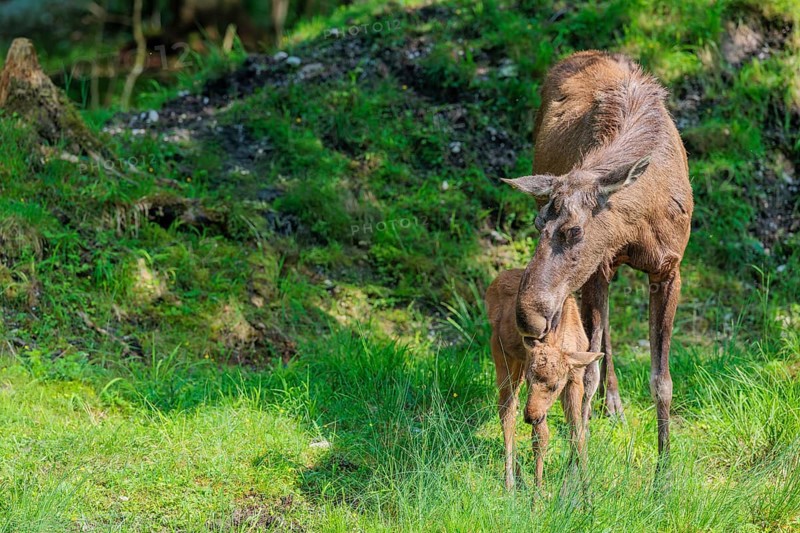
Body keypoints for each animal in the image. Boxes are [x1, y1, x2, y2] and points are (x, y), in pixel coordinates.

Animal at [486, 268, 603, 490]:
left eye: (556, 385)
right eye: (532, 379)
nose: (531, 416)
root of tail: (494, 282)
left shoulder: (574, 380)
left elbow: (578, 434)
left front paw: (587, 493)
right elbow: (541, 438)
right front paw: (537, 494)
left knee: (510, 407)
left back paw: (518, 475)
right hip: (503, 353)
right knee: (506, 409)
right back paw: (510, 482)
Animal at [501, 51, 694, 474]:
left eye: (574, 230)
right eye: (538, 223)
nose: (527, 316)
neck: (636, 223)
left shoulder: (669, 270)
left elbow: (662, 380)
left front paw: (665, 468)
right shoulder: (597, 270)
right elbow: (586, 372)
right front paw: (577, 465)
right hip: (587, 280)